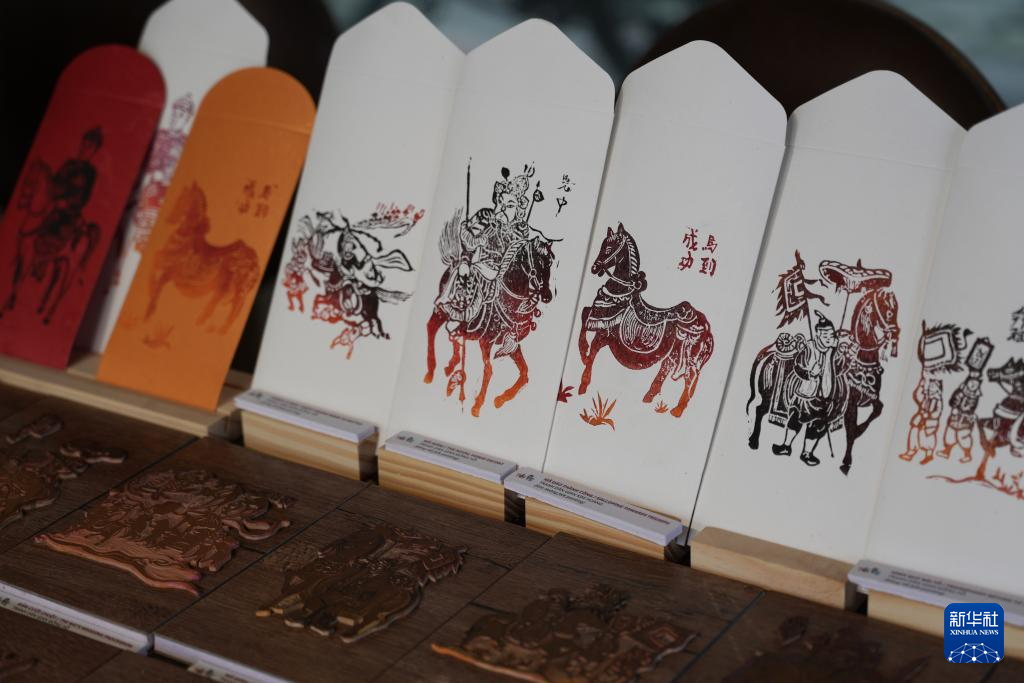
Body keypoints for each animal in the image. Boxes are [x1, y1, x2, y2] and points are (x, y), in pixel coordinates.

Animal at [145, 182, 260, 334]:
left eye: (183, 199)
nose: (169, 219)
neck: (186, 237)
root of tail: (255, 261)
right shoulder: (170, 269)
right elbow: (156, 266)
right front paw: (150, 304)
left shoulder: (171, 267)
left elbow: (156, 265)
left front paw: (150, 305)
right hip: (228, 286)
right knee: (222, 303)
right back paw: (207, 325)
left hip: (237, 288)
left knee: (235, 309)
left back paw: (215, 329)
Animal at [424, 235, 555, 417]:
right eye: (540, 261)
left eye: (550, 263)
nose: (548, 296)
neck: (509, 300)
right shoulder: (486, 341)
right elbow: (489, 370)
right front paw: (477, 405)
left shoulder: (511, 343)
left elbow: (524, 372)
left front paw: (501, 398)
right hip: (442, 311)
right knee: (431, 328)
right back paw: (430, 372)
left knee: (454, 334)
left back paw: (451, 364)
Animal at [578, 223, 713, 418]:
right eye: (602, 245)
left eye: (608, 248)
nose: (594, 268)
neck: (619, 294)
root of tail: (705, 326)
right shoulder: (600, 322)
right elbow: (584, 315)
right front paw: (584, 359)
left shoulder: (604, 327)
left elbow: (590, 340)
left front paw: (583, 375)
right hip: (674, 353)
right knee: (666, 368)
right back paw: (649, 397)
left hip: (689, 357)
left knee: (688, 377)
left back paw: (677, 410)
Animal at [747, 287, 899, 474]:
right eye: (889, 311)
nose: (896, 333)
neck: (862, 362)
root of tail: (771, 352)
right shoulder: (850, 405)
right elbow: (850, 431)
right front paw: (846, 462)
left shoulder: (869, 399)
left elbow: (877, 410)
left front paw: (857, 434)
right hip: (769, 393)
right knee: (763, 410)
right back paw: (756, 441)